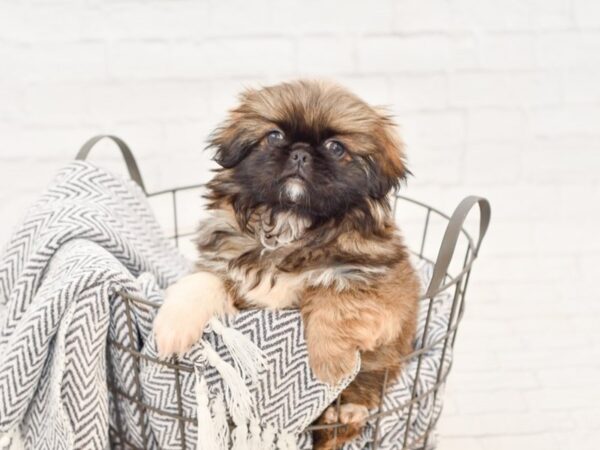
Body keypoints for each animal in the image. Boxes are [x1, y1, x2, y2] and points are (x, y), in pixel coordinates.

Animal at [152, 79, 420, 448]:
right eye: (275, 136)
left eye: (335, 147)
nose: (300, 152)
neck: (290, 223)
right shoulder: (230, 274)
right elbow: (202, 281)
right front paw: (173, 326)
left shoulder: (381, 280)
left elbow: (336, 298)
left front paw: (331, 363)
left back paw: (344, 414)